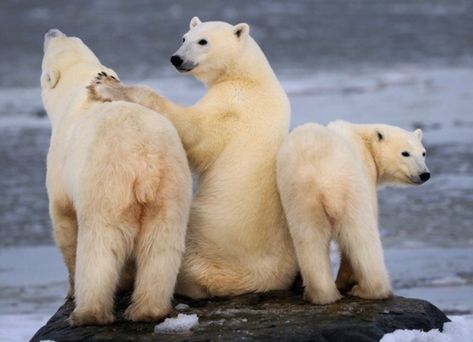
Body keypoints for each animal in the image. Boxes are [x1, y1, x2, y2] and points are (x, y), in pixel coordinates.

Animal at [41, 28, 192, 324]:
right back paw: (147, 310)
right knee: (161, 247)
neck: (80, 92)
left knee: (99, 246)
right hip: (171, 187)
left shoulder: (60, 170)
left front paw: (70, 291)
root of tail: (145, 161)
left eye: (51, 46)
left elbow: (64, 223)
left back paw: (87, 314)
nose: (52, 31)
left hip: (107, 184)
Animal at [86, 17, 296, 298]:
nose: (176, 58)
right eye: (184, 37)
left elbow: (193, 133)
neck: (249, 76)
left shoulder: (232, 104)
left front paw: (106, 84)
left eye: (203, 41)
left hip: (206, 232)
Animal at [276, 121, 428, 304]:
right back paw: (369, 290)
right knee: (361, 238)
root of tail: (325, 181)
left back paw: (322, 295)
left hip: (301, 197)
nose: (424, 174)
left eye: (423, 153)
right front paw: (345, 282)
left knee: (310, 239)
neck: (364, 139)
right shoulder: (366, 175)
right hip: (351, 192)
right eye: (405, 153)